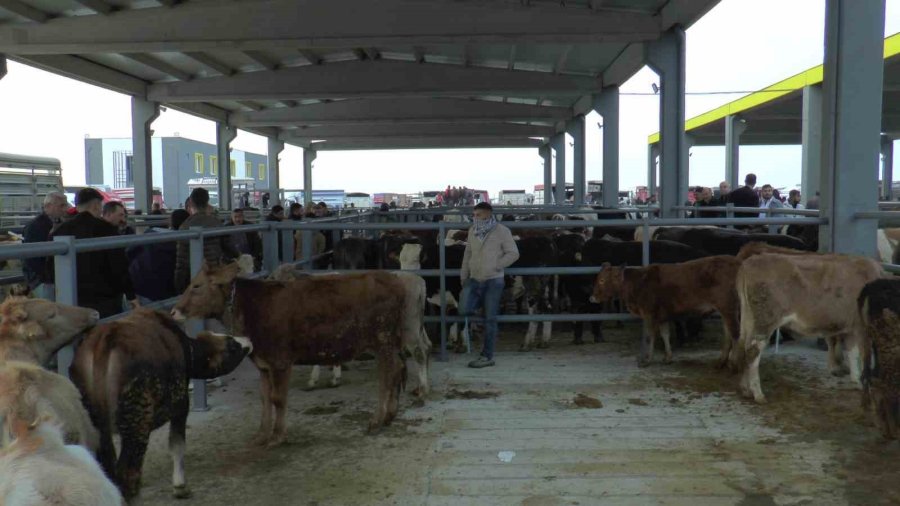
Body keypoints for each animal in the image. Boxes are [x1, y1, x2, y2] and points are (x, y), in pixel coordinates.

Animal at [69, 306, 253, 500]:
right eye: (232, 345)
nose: (248, 339)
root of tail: (105, 339)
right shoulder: (181, 404)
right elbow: (177, 444)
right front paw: (180, 486)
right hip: (137, 424)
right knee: (128, 472)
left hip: (98, 428)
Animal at [171, 262, 408, 444]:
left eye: (197, 285)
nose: (174, 311)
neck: (250, 308)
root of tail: (392, 279)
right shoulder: (263, 364)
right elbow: (265, 398)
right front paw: (261, 434)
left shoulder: (280, 362)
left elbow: (278, 399)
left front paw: (277, 435)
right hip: (390, 342)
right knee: (398, 369)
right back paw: (389, 415)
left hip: (383, 340)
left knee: (387, 375)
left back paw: (376, 420)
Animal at [588, 256, 740, 368]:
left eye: (602, 280)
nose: (592, 297)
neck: (638, 283)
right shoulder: (662, 316)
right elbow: (665, 334)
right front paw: (667, 357)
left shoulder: (650, 314)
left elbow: (650, 336)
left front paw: (646, 360)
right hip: (725, 310)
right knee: (728, 333)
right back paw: (721, 362)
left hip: (729, 307)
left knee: (735, 333)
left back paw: (734, 363)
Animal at [736, 255, 884, 406]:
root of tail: (750, 262)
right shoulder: (863, 328)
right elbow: (865, 358)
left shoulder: (851, 327)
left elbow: (853, 353)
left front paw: (856, 381)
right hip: (765, 320)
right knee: (753, 351)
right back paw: (758, 394)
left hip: (749, 319)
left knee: (744, 347)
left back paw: (745, 390)